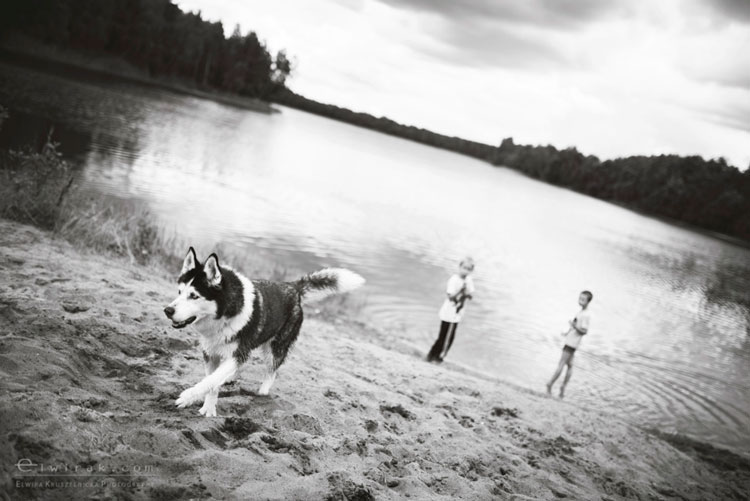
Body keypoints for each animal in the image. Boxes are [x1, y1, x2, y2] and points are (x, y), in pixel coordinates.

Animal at [164, 247, 365, 417]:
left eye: (194, 296)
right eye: (179, 292)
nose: (168, 310)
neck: (225, 313)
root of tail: (293, 287)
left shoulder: (238, 352)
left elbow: (211, 380)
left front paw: (188, 397)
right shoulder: (210, 352)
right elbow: (212, 381)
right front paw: (208, 407)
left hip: (276, 347)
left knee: (272, 371)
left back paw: (262, 391)